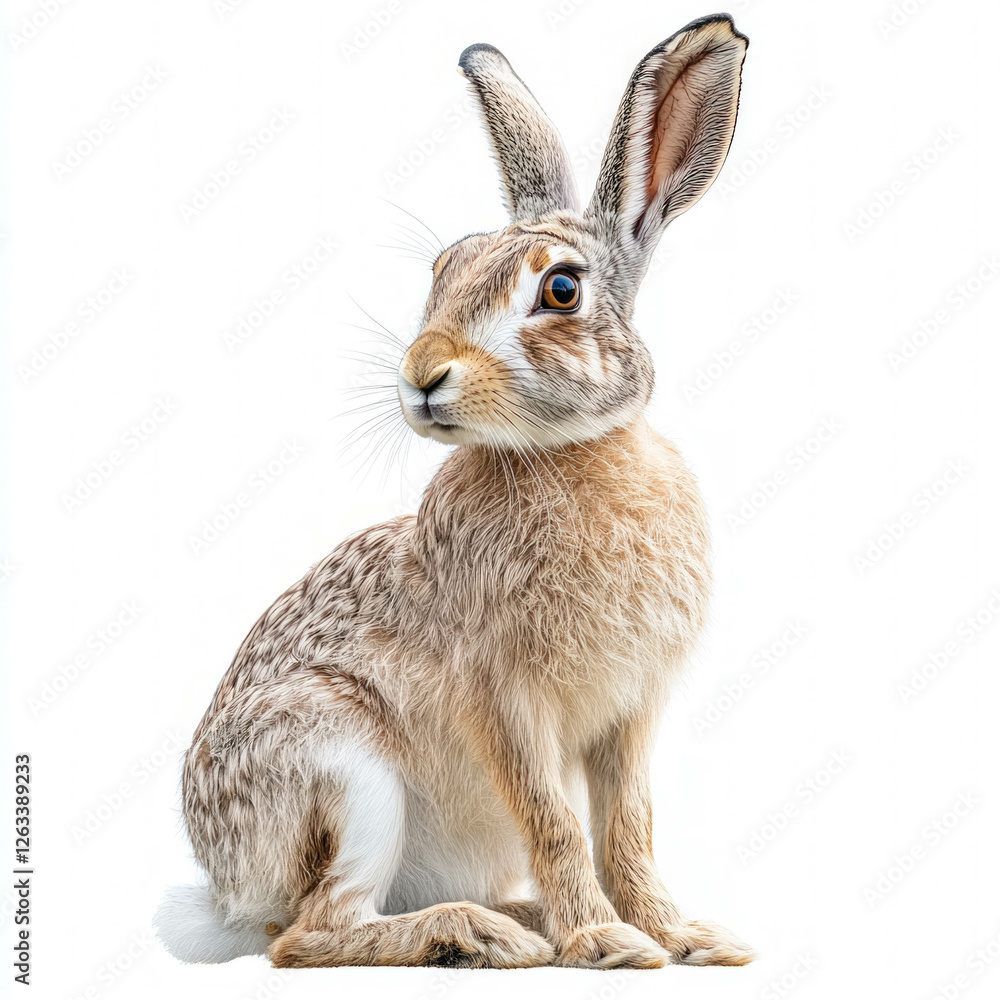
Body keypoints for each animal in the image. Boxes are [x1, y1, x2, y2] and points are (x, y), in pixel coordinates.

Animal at [155, 13, 752, 970]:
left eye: (560, 289)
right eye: (443, 269)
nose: (421, 374)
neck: (562, 452)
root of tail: (224, 894)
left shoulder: (630, 716)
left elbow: (629, 828)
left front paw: (682, 935)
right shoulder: (503, 701)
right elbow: (556, 823)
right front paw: (606, 943)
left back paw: (519, 923)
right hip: (346, 768)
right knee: (311, 934)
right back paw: (478, 935)